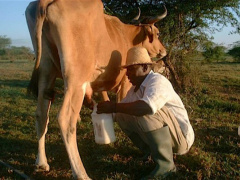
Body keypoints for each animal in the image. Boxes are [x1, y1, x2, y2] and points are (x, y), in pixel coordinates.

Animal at [24, 0, 167, 179]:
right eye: (158, 33)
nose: (164, 51)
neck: (127, 36)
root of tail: (45, 2)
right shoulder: (125, 81)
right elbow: (122, 106)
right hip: (75, 79)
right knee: (66, 119)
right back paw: (81, 173)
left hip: (46, 72)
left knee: (41, 115)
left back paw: (41, 163)